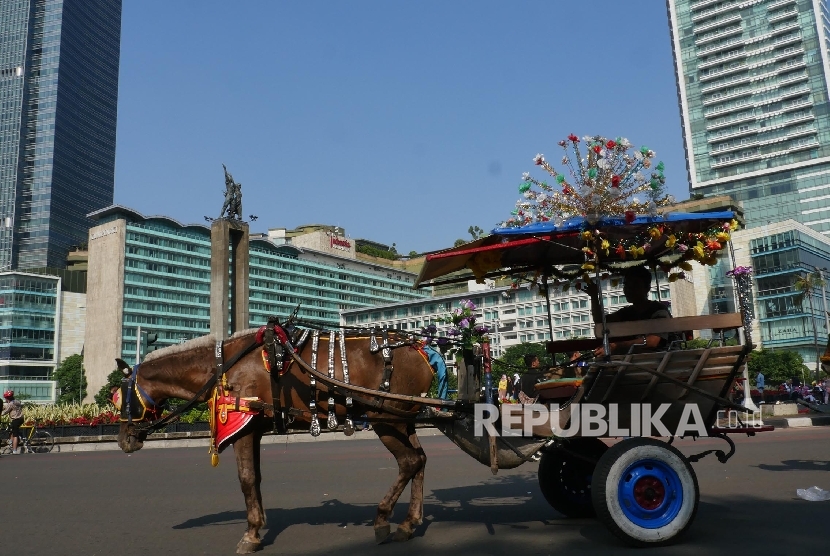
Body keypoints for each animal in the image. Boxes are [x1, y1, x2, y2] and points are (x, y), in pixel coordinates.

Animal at [121, 326, 442, 552]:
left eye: (121, 399)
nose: (124, 440)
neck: (221, 367)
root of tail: (422, 350)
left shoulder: (243, 428)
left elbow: (246, 478)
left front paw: (250, 534)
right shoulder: (254, 429)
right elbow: (256, 478)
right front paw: (258, 523)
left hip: (385, 419)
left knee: (408, 461)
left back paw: (383, 518)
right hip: (403, 420)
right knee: (420, 459)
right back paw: (409, 522)